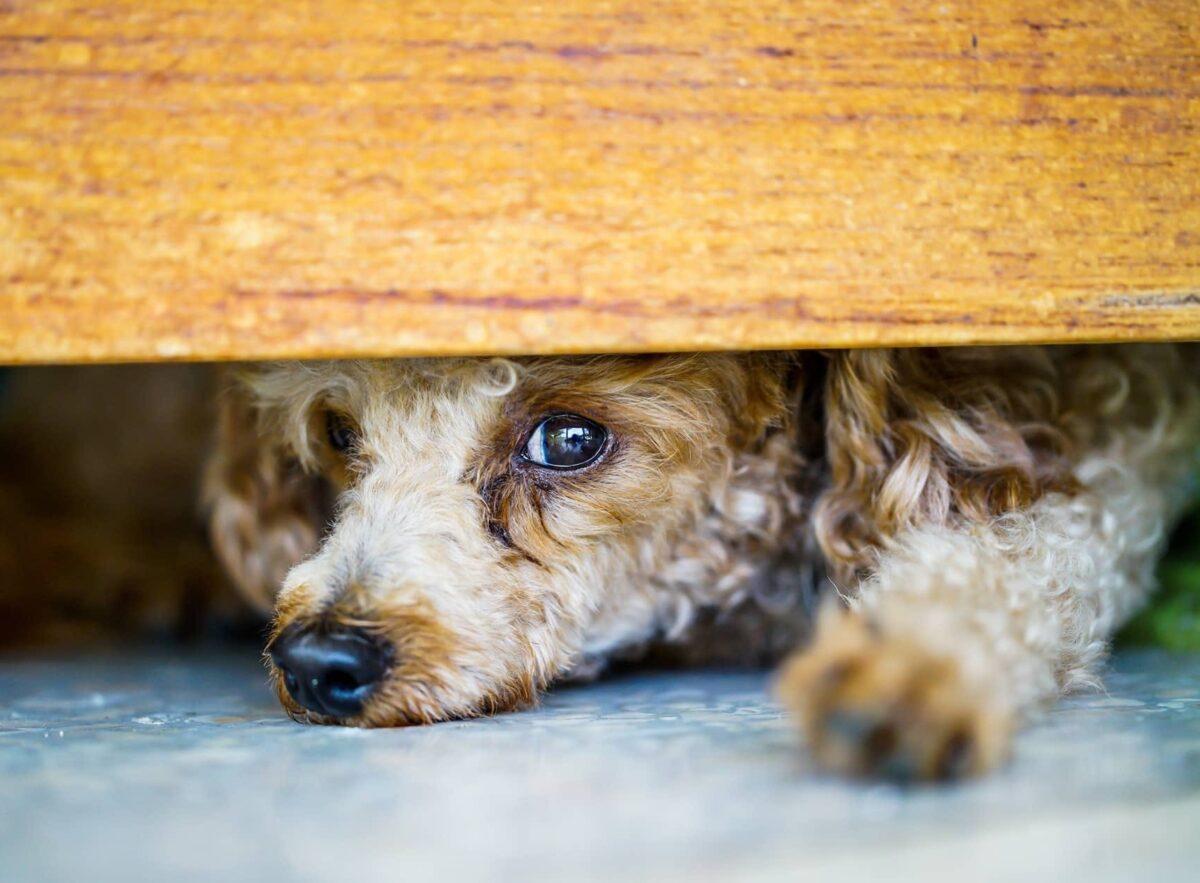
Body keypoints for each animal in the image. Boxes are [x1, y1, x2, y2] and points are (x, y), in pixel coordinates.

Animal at [2, 345, 1200, 777]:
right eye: (340, 431)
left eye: (570, 439)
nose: (317, 662)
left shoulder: (1115, 465)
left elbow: (1025, 559)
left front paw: (912, 668)